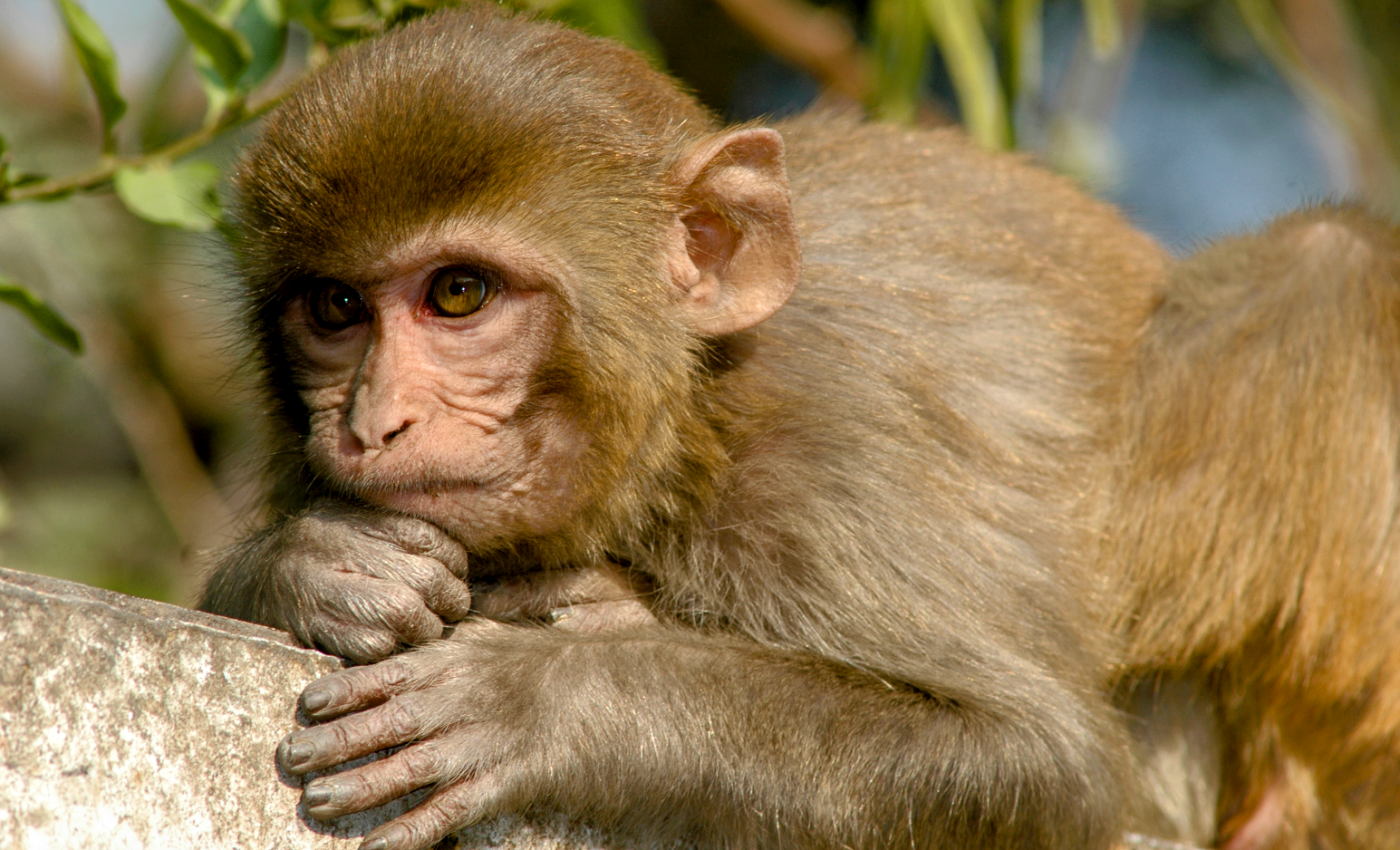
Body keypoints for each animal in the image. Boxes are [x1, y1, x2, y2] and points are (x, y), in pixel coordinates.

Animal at [194, 5, 1400, 850]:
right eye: (335, 309)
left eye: (457, 295)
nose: (376, 422)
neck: (689, 415)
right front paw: (316, 565)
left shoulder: (830, 453)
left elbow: (1037, 760)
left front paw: (548, 697)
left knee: (1328, 264)